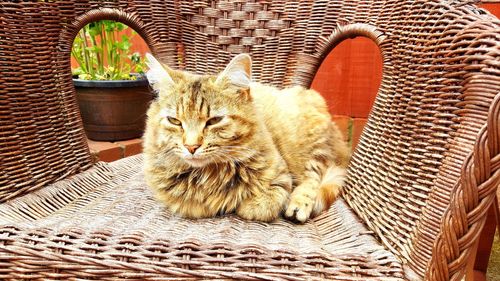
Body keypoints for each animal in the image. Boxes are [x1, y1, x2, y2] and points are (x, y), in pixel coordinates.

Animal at [143, 53, 350, 221]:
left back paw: (298, 206)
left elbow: (261, 206)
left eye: (214, 120)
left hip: (312, 144)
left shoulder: (282, 179)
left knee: (313, 177)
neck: (209, 175)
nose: (191, 147)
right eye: (175, 121)